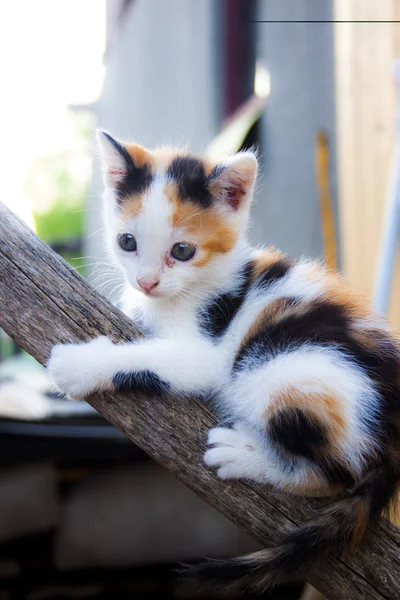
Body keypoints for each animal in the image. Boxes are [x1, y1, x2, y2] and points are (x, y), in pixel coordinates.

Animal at [48, 130, 400, 592]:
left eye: (182, 250)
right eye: (127, 242)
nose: (146, 281)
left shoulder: (207, 352)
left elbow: (149, 355)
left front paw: (75, 365)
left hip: (287, 366)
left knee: (338, 473)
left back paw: (242, 454)